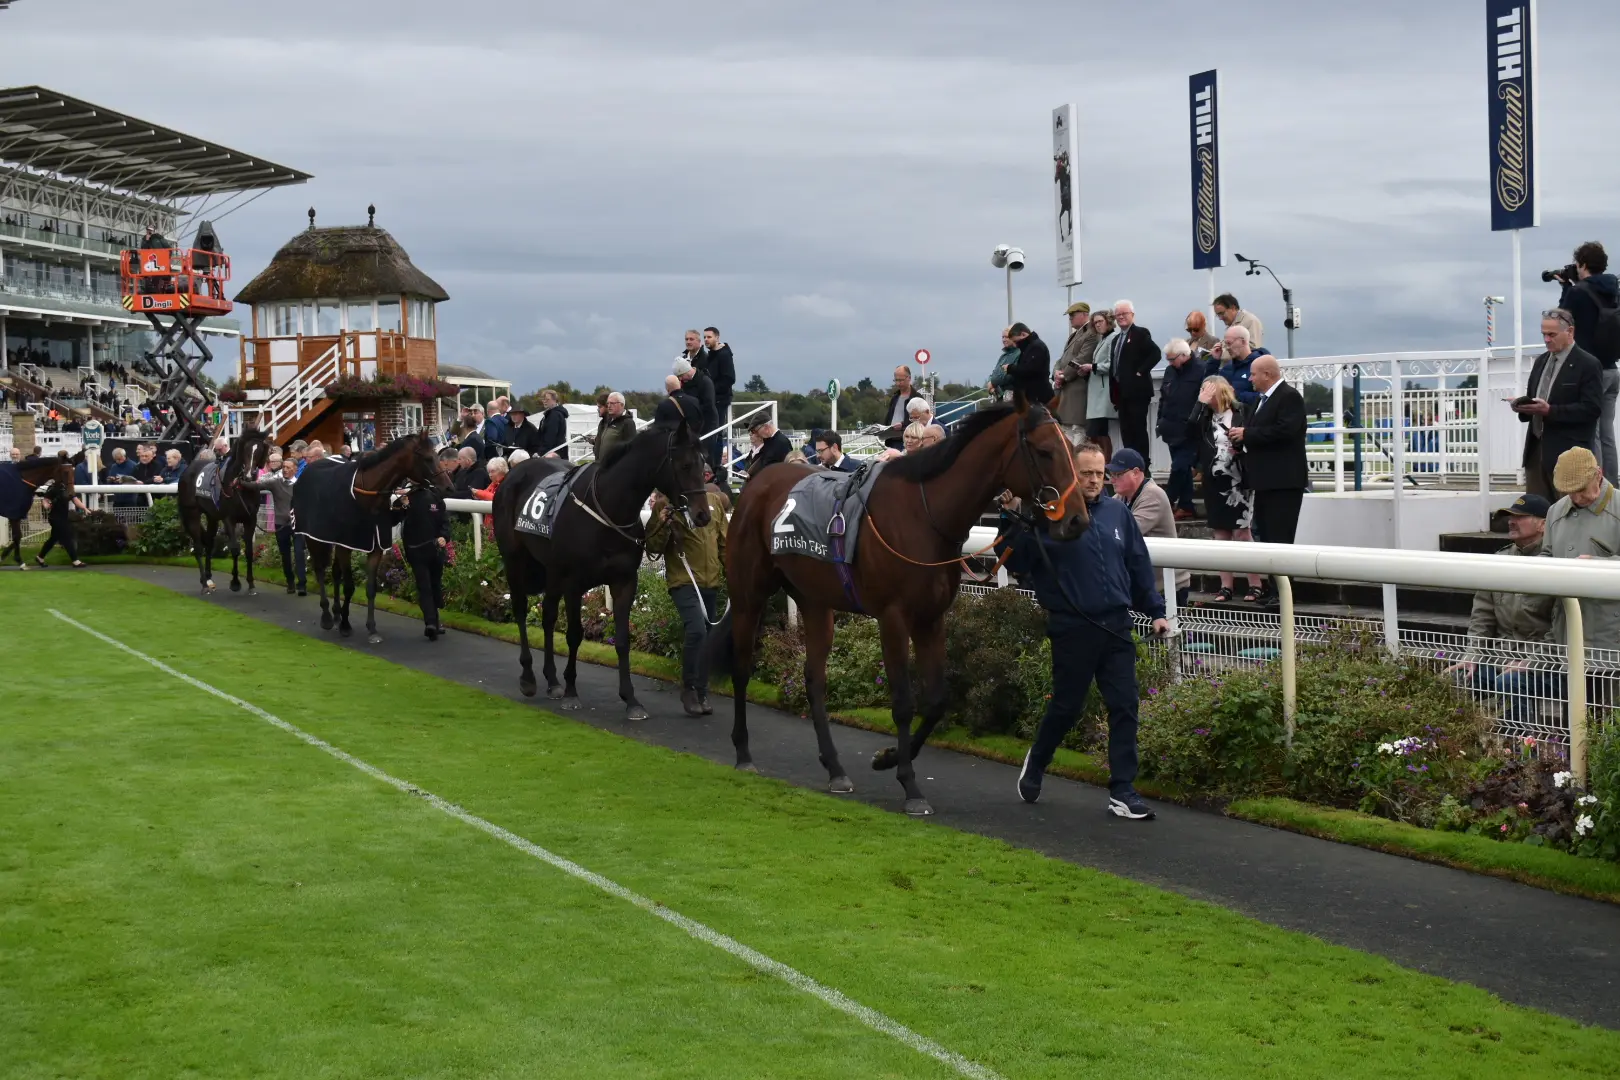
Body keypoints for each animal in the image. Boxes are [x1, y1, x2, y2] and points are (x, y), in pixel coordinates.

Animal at [177, 427, 268, 592]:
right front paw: (235, 582)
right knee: (198, 546)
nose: (249, 475)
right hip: (191, 513)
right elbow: (235, 549)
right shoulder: (229, 519)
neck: (238, 486)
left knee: (209, 542)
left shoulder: (251, 519)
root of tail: (187, 470)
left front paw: (251, 583)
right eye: (245, 449)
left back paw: (208, 578)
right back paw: (204, 584)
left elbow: (249, 551)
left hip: (212, 516)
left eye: (259, 450)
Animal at [492, 417, 709, 722]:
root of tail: (514, 472)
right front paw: (572, 693)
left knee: (547, 616)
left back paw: (552, 680)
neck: (610, 508)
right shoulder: (573, 583)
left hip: (551, 570)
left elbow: (622, 639)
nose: (703, 515)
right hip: (515, 560)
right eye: (685, 465)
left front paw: (631, 699)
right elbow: (574, 634)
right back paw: (529, 678)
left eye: (704, 464)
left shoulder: (624, 581)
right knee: (521, 610)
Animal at [716, 393, 1082, 816]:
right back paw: (743, 753)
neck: (925, 515)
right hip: (749, 594)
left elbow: (937, 700)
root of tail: (757, 482)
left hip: (815, 601)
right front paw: (910, 786)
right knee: (742, 667)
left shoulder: (931, 618)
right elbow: (905, 702)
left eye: (1071, 449)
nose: (1077, 519)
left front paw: (887, 757)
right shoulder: (892, 618)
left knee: (814, 679)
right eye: (1044, 450)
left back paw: (835, 768)